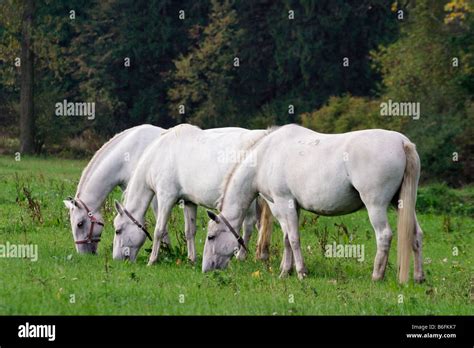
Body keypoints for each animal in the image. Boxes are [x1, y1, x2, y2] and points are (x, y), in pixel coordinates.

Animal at [111, 125, 272, 264]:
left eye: (118, 231)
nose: (117, 259)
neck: (160, 155)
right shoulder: (189, 202)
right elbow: (190, 231)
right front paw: (191, 259)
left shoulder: (166, 198)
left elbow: (159, 230)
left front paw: (152, 260)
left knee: (251, 225)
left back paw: (242, 256)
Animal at [202, 123, 424, 284]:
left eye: (211, 237)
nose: (206, 269)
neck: (265, 156)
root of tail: (402, 142)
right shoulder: (290, 206)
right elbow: (286, 238)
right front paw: (286, 271)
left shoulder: (282, 203)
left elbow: (293, 239)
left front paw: (300, 272)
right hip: (403, 205)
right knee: (416, 234)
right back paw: (418, 277)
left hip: (375, 206)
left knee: (384, 235)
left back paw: (377, 276)